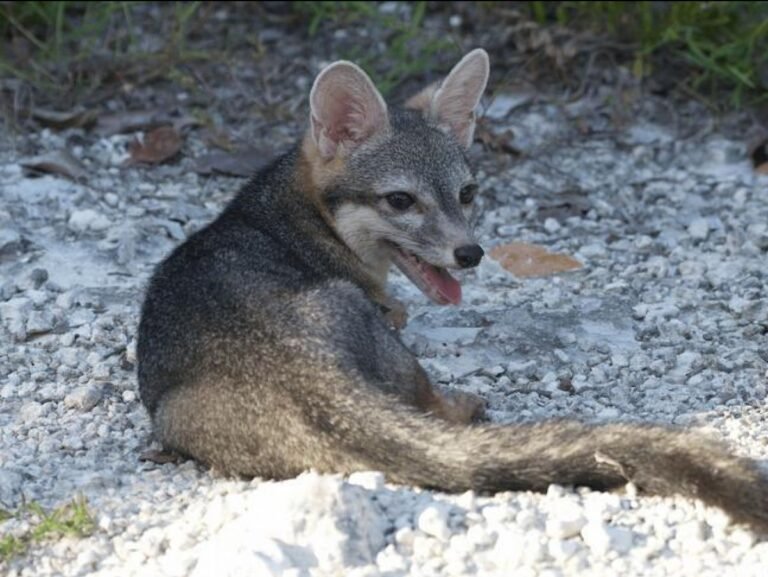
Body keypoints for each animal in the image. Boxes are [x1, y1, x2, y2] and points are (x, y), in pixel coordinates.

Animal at [137, 49, 768, 532]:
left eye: (467, 194)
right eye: (400, 201)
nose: (471, 253)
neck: (290, 216)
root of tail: (307, 374)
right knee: (433, 406)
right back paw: (463, 404)